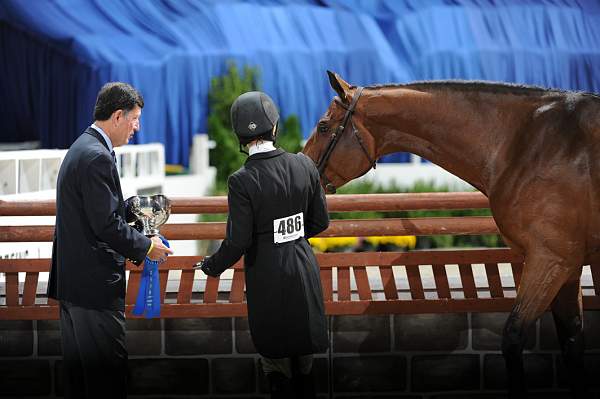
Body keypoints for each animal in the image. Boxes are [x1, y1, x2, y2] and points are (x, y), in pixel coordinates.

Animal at [302, 71, 596, 396]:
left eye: (323, 126)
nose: (302, 169)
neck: (525, 142)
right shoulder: (568, 268)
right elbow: (572, 344)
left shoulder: (550, 260)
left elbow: (514, 338)